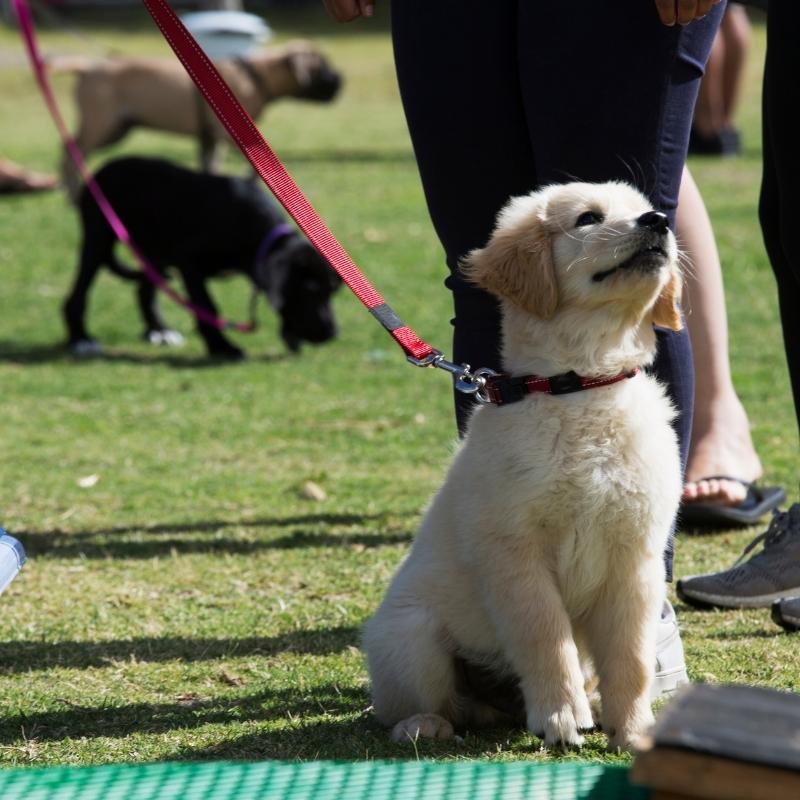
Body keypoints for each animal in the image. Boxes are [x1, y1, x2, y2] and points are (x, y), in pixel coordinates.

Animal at [56, 40, 340, 198]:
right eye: (323, 67)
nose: (341, 82)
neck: (255, 74)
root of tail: (88, 67)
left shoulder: (209, 138)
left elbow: (208, 168)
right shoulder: (228, 136)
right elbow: (253, 167)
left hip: (116, 128)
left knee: (68, 149)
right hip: (101, 125)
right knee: (72, 155)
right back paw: (73, 196)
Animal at [61, 156, 338, 356]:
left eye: (332, 292)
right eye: (310, 291)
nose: (332, 333)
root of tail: (101, 171)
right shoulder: (190, 264)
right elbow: (207, 306)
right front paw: (222, 347)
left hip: (155, 254)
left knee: (144, 291)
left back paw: (159, 331)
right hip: (98, 238)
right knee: (78, 294)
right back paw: (81, 339)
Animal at [366, 181, 684, 752]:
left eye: (645, 208)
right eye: (588, 218)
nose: (658, 221)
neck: (581, 387)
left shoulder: (636, 557)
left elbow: (630, 659)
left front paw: (633, 729)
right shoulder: (515, 553)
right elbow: (545, 637)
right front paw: (560, 717)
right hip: (410, 636)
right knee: (423, 703)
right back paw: (423, 724)